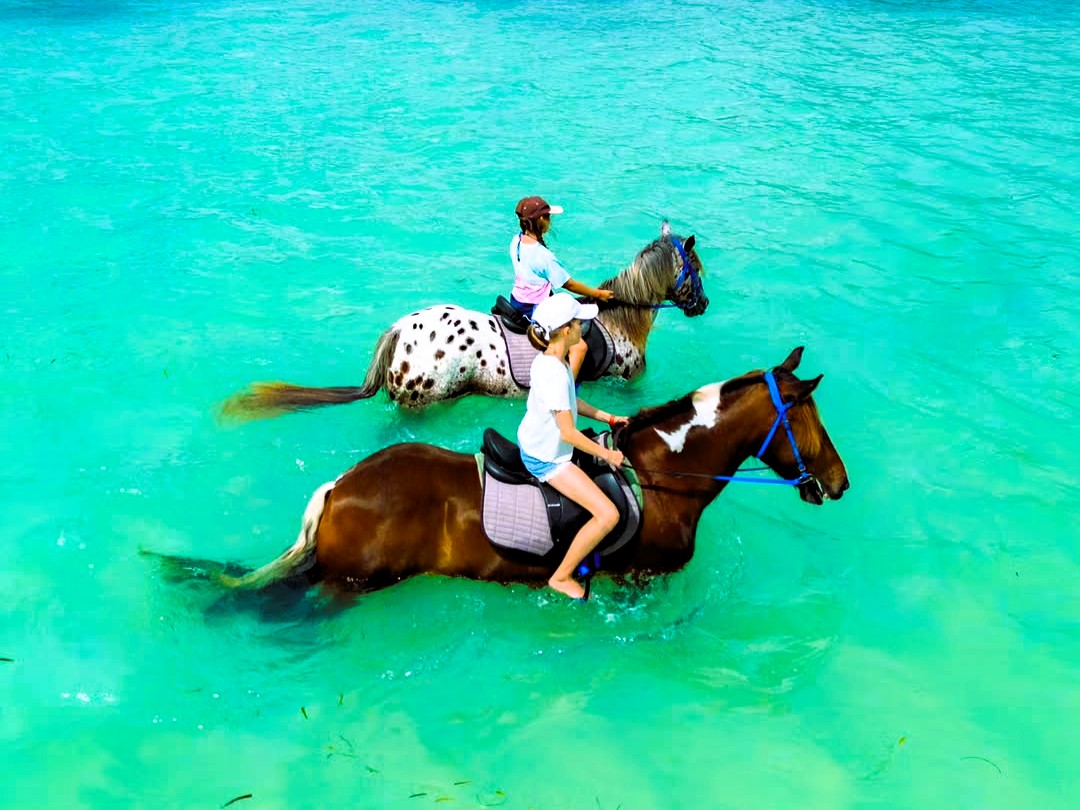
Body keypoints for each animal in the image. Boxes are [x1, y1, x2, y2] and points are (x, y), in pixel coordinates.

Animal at [166, 348, 848, 600]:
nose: (839, 482)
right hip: (352, 584)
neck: (662, 478)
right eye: (808, 416)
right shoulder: (642, 579)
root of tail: (341, 487)